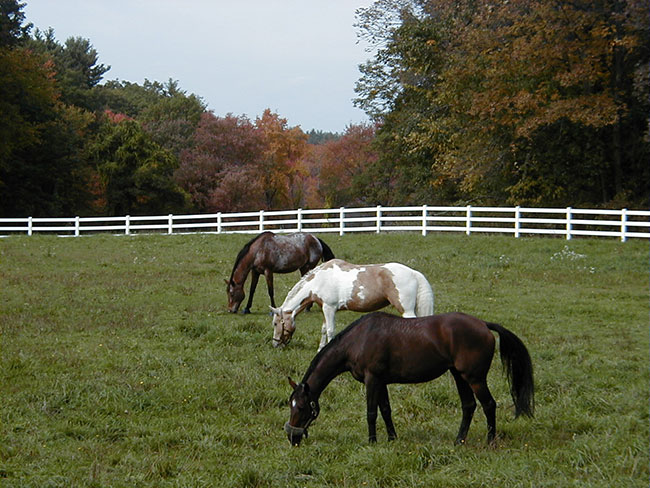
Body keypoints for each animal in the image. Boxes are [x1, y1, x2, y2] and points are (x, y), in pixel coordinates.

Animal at [270, 260, 432, 350]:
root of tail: (414, 273)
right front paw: (320, 349)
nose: (275, 344)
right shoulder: (325, 309)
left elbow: (330, 331)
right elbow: (324, 330)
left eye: (276, 323)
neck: (319, 280)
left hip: (406, 310)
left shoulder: (329, 308)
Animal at [284, 312, 532, 446]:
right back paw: (458, 441)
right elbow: (385, 410)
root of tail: (483, 324)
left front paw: (372, 441)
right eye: (291, 405)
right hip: (459, 376)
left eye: (303, 407)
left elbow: (371, 413)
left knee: (489, 405)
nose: (292, 437)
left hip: (475, 378)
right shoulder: (381, 382)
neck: (358, 340)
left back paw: (490, 440)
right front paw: (392, 438)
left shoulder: (372, 380)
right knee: (469, 406)